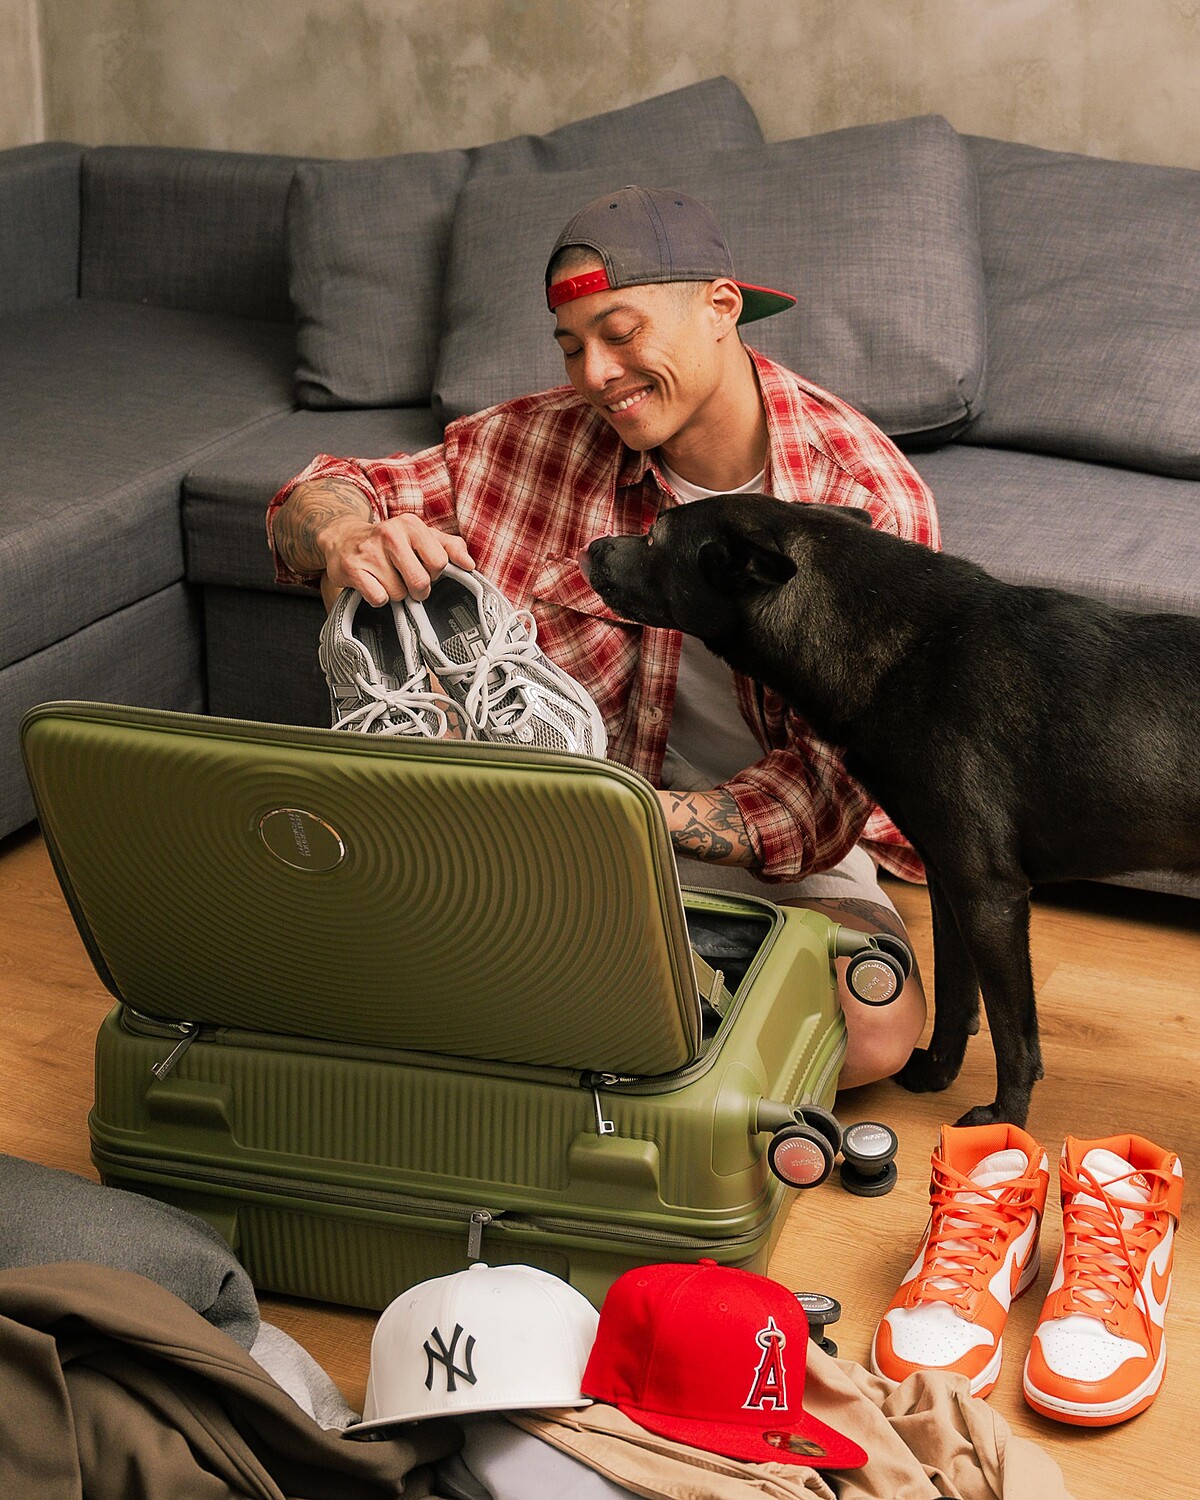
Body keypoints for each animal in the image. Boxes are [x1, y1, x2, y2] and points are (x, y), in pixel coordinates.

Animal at [583, 495, 1200, 1127]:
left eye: (656, 537)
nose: (592, 547)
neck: (907, 646)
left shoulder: (988, 892)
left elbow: (1013, 1034)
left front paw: (1004, 1121)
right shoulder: (949, 882)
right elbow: (956, 995)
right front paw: (935, 1075)